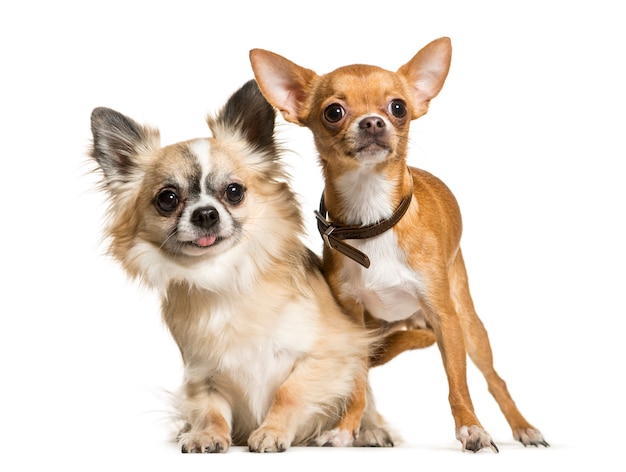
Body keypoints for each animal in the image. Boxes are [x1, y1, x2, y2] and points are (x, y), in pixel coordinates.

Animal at [249, 37, 544, 454]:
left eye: (398, 107)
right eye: (333, 112)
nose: (373, 121)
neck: (373, 220)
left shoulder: (444, 318)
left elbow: (458, 384)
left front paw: (472, 429)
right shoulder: (352, 319)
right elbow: (356, 383)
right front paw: (344, 430)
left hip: (468, 322)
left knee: (494, 379)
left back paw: (524, 428)